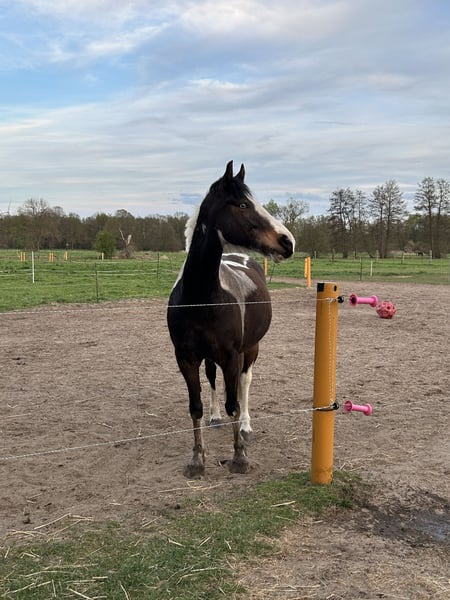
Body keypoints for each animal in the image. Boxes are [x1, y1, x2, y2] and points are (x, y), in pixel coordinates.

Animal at [167, 161, 295, 478]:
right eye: (243, 204)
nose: (288, 242)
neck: (201, 297)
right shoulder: (186, 358)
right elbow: (196, 406)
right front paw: (197, 459)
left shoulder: (231, 355)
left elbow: (234, 403)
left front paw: (239, 456)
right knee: (214, 380)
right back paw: (215, 418)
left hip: (250, 349)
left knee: (245, 384)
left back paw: (247, 426)